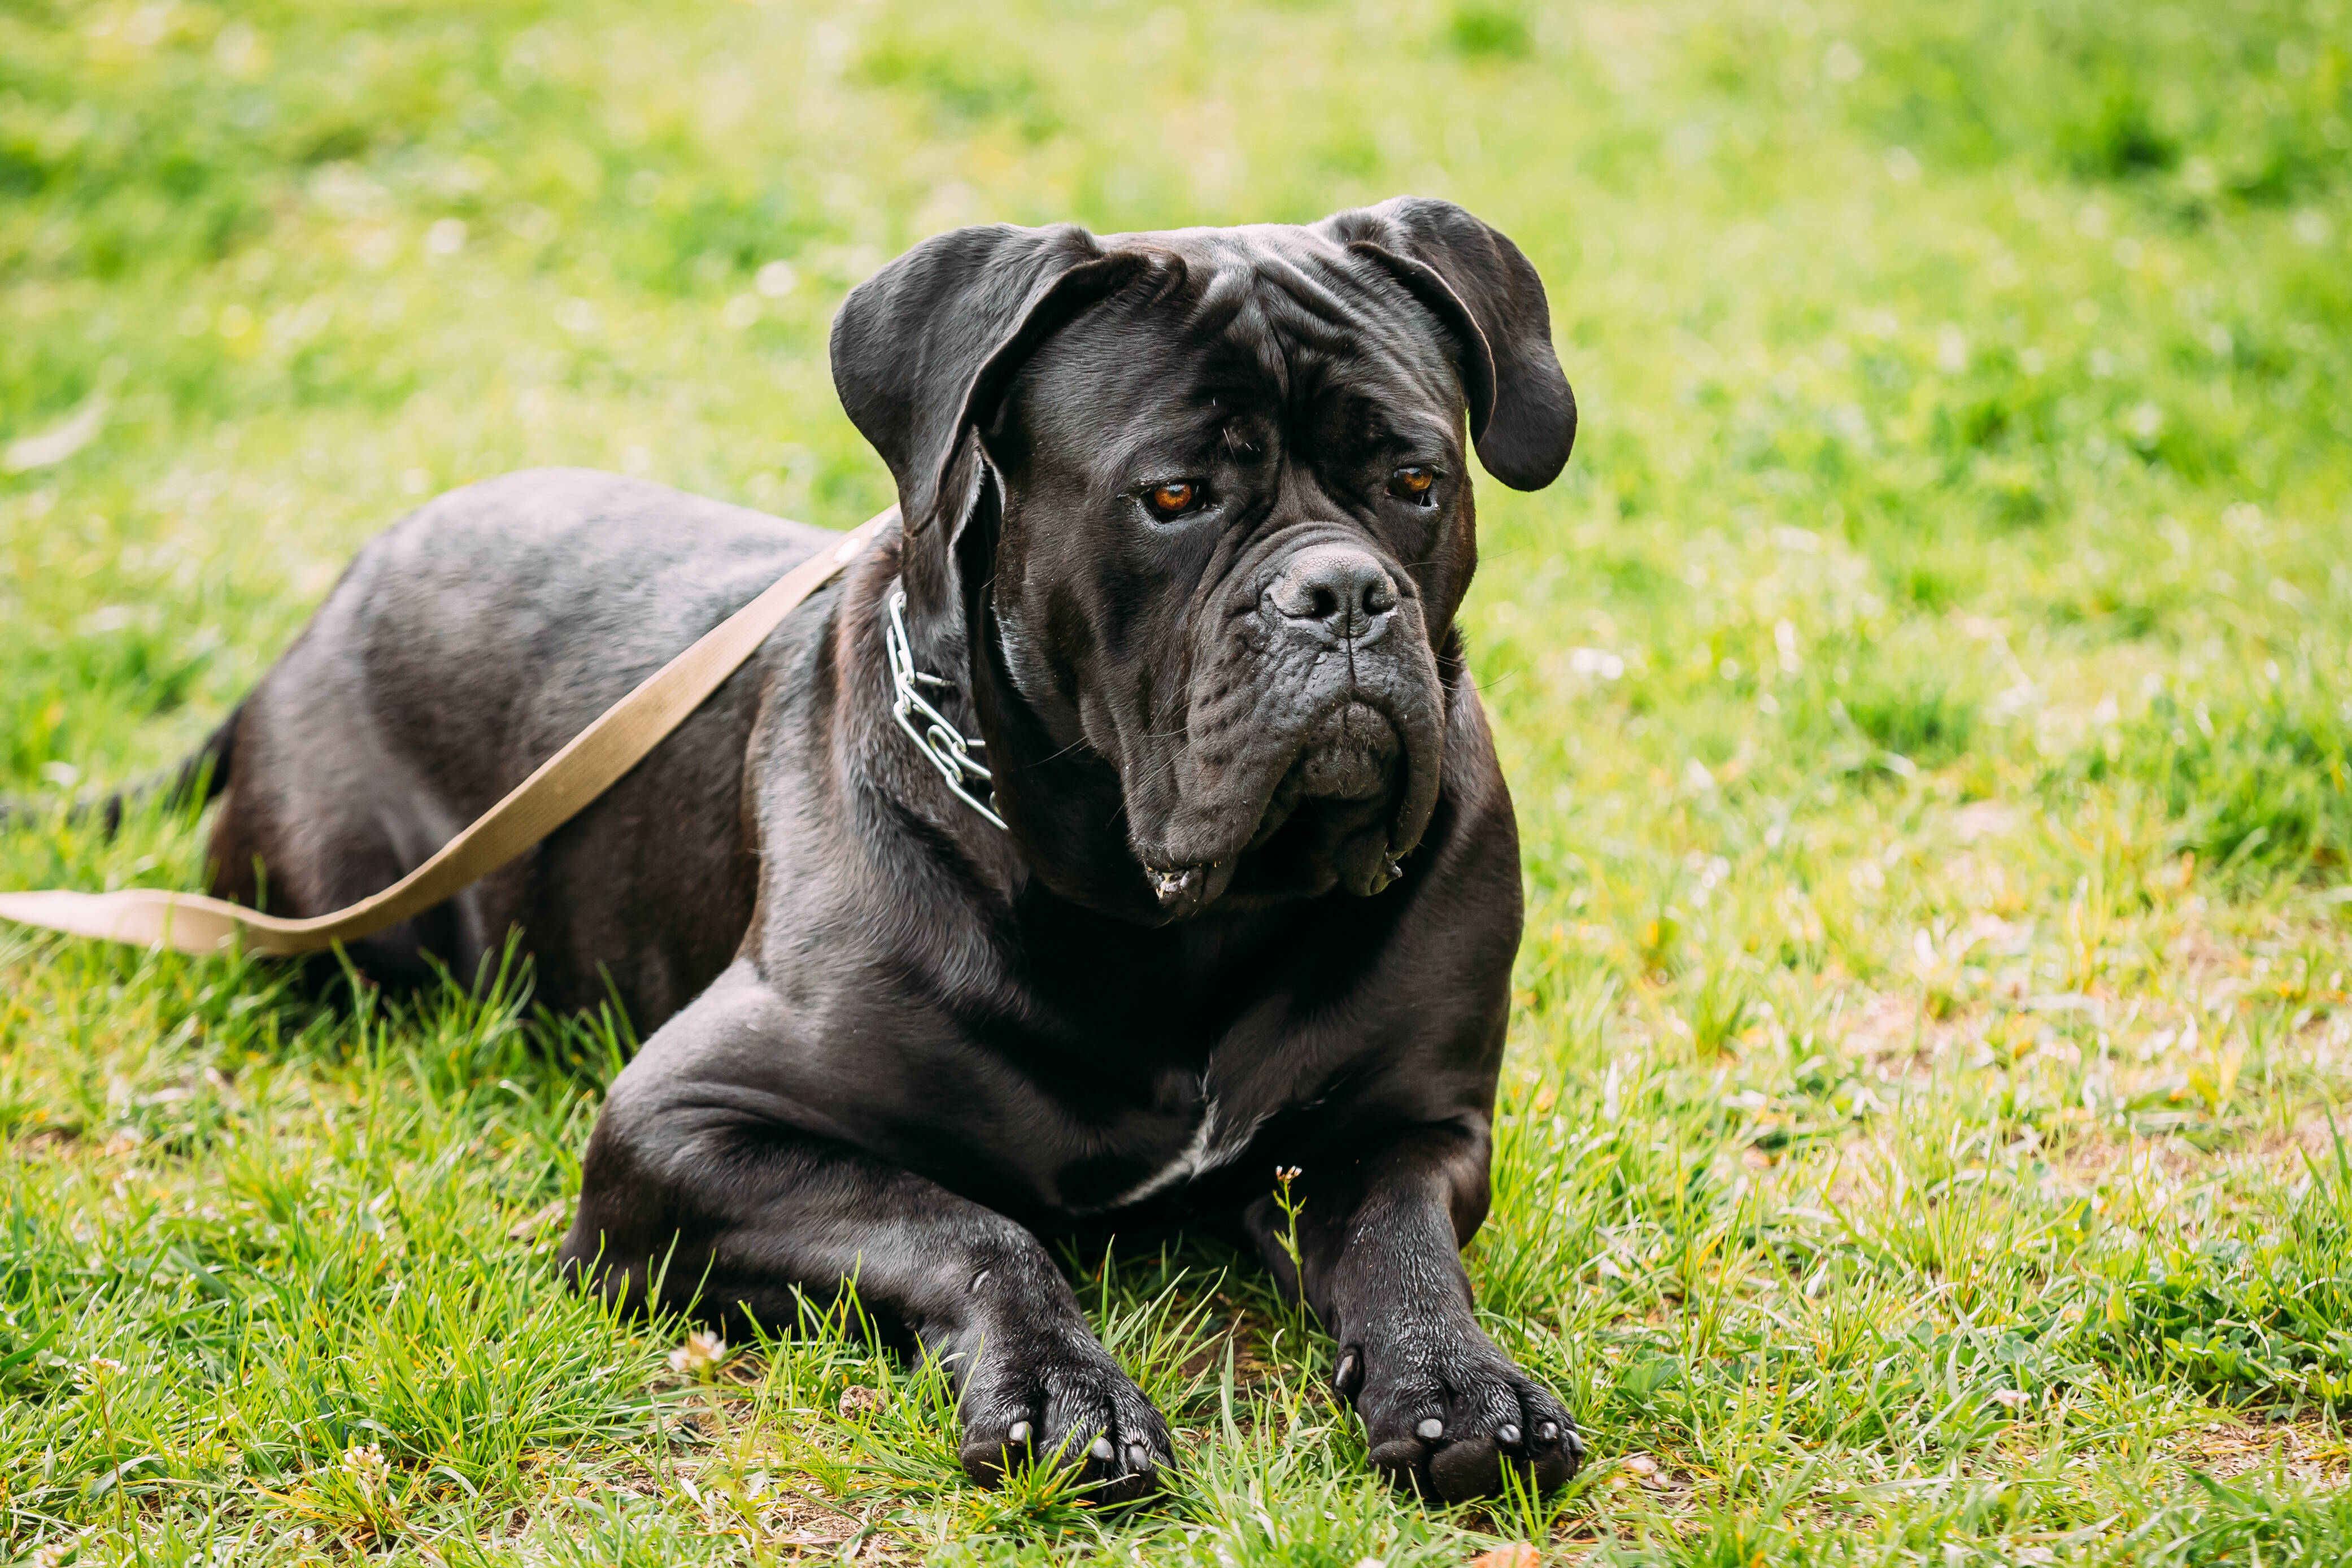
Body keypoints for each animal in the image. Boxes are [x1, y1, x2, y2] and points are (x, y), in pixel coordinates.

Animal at [165, 199, 1571, 1504]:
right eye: (1174, 496)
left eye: (1416, 481)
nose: (1342, 593)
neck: (1180, 918)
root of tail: (324, 606)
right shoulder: (680, 1126)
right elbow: (966, 1222)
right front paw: (1061, 1390)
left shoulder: (1415, 1120)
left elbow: (1397, 1239)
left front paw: (1457, 1382)